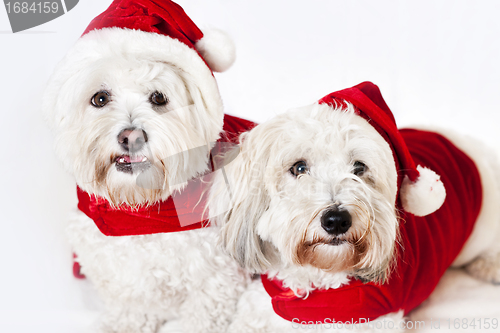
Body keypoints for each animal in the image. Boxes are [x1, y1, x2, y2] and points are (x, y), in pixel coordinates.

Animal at [42, 0, 252, 332]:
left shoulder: (217, 280)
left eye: (158, 97)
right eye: (100, 98)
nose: (131, 136)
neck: (140, 211)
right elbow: (132, 305)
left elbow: (203, 313)